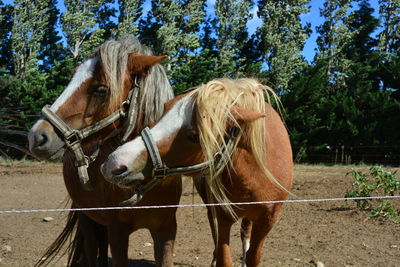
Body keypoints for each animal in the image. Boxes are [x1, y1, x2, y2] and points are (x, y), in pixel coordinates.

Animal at [28, 37, 182, 267]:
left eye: (101, 89)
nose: (37, 136)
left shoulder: (166, 230)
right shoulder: (117, 231)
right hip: (86, 217)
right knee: (93, 250)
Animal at [101, 78, 292, 266]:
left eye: (194, 136)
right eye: (165, 109)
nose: (114, 162)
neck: (255, 175)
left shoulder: (267, 222)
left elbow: (253, 256)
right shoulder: (223, 217)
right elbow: (224, 256)